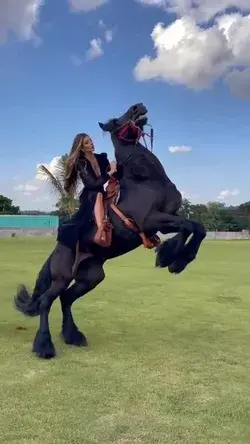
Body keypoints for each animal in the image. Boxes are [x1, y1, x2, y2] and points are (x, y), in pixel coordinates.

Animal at [14, 105, 205, 360]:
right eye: (115, 121)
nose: (138, 107)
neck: (146, 181)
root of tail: (57, 250)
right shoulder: (150, 221)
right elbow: (188, 227)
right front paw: (170, 259)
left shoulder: (166, 220)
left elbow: (196, 227)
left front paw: (174, 259)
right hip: (62, 277)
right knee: (46, 302)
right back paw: (45, 347)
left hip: (92, 277)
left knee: (66, 299)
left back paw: (73, 337)